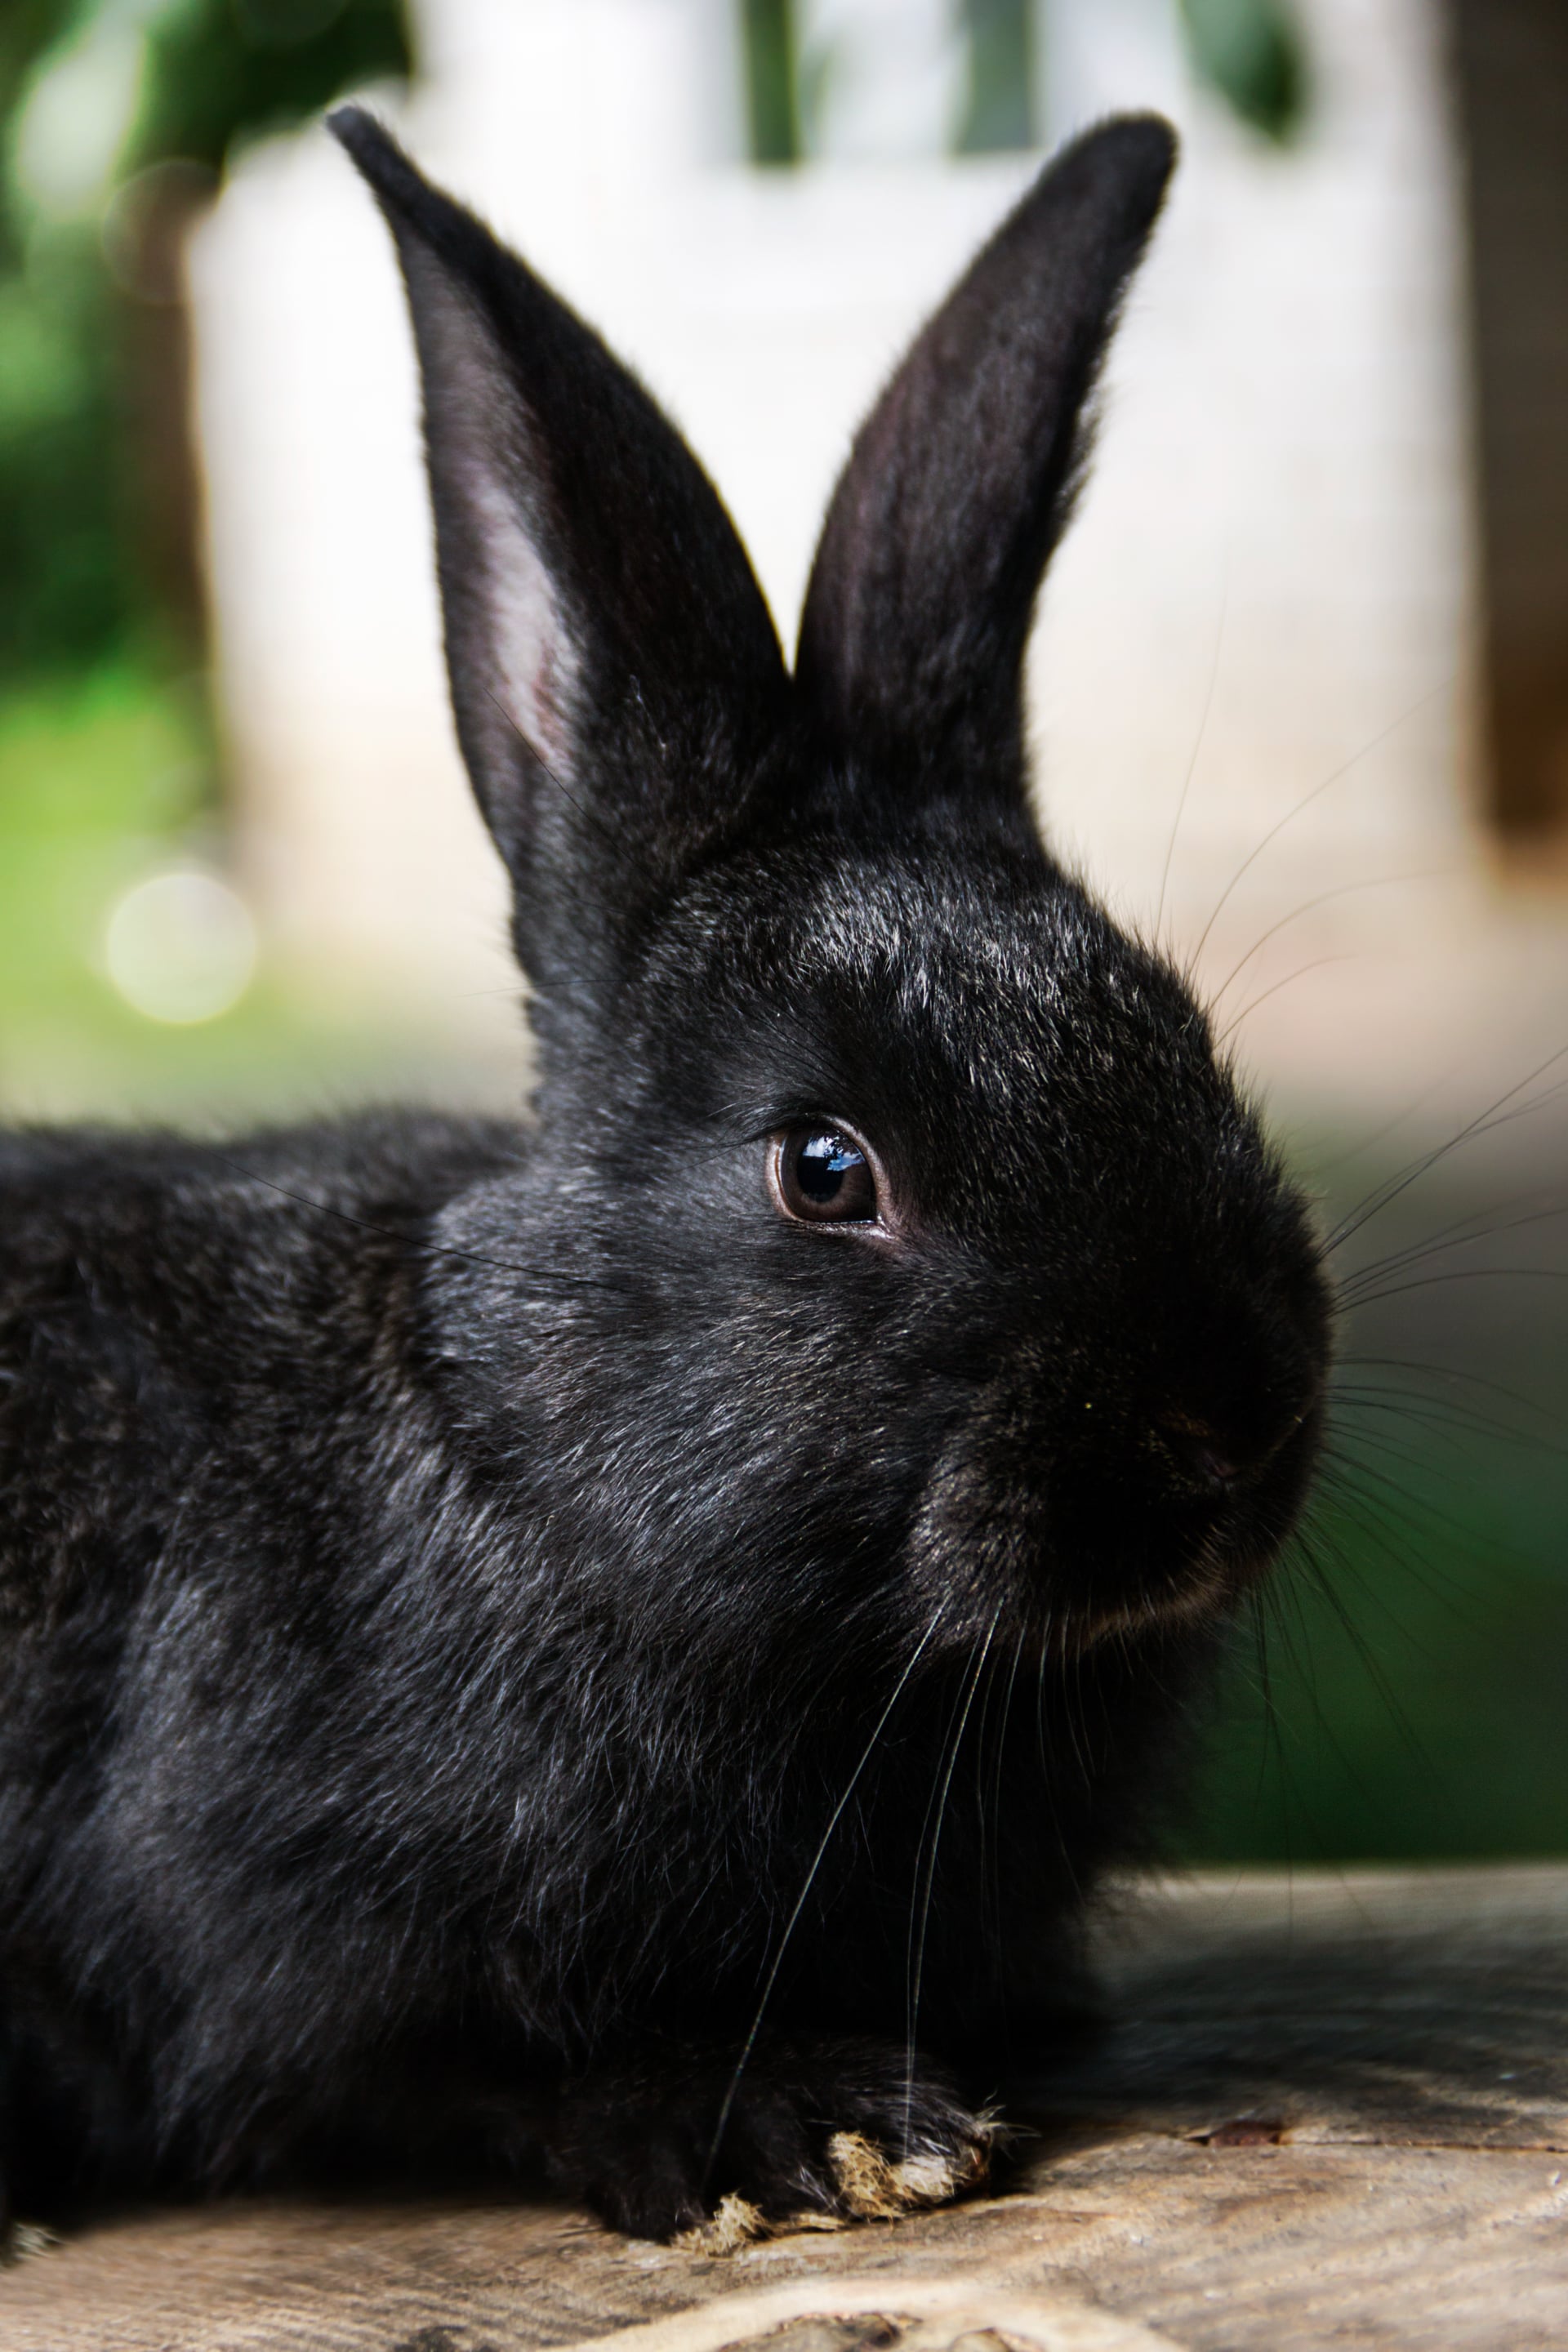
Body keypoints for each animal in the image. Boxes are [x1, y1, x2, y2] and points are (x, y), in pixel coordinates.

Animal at [0, 106, 1331, 2245]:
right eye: (823, 1167)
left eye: (1174, 1028)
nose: (1225, 1422)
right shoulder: (274, 1947)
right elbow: (460, 2069)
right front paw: (811, 2119)